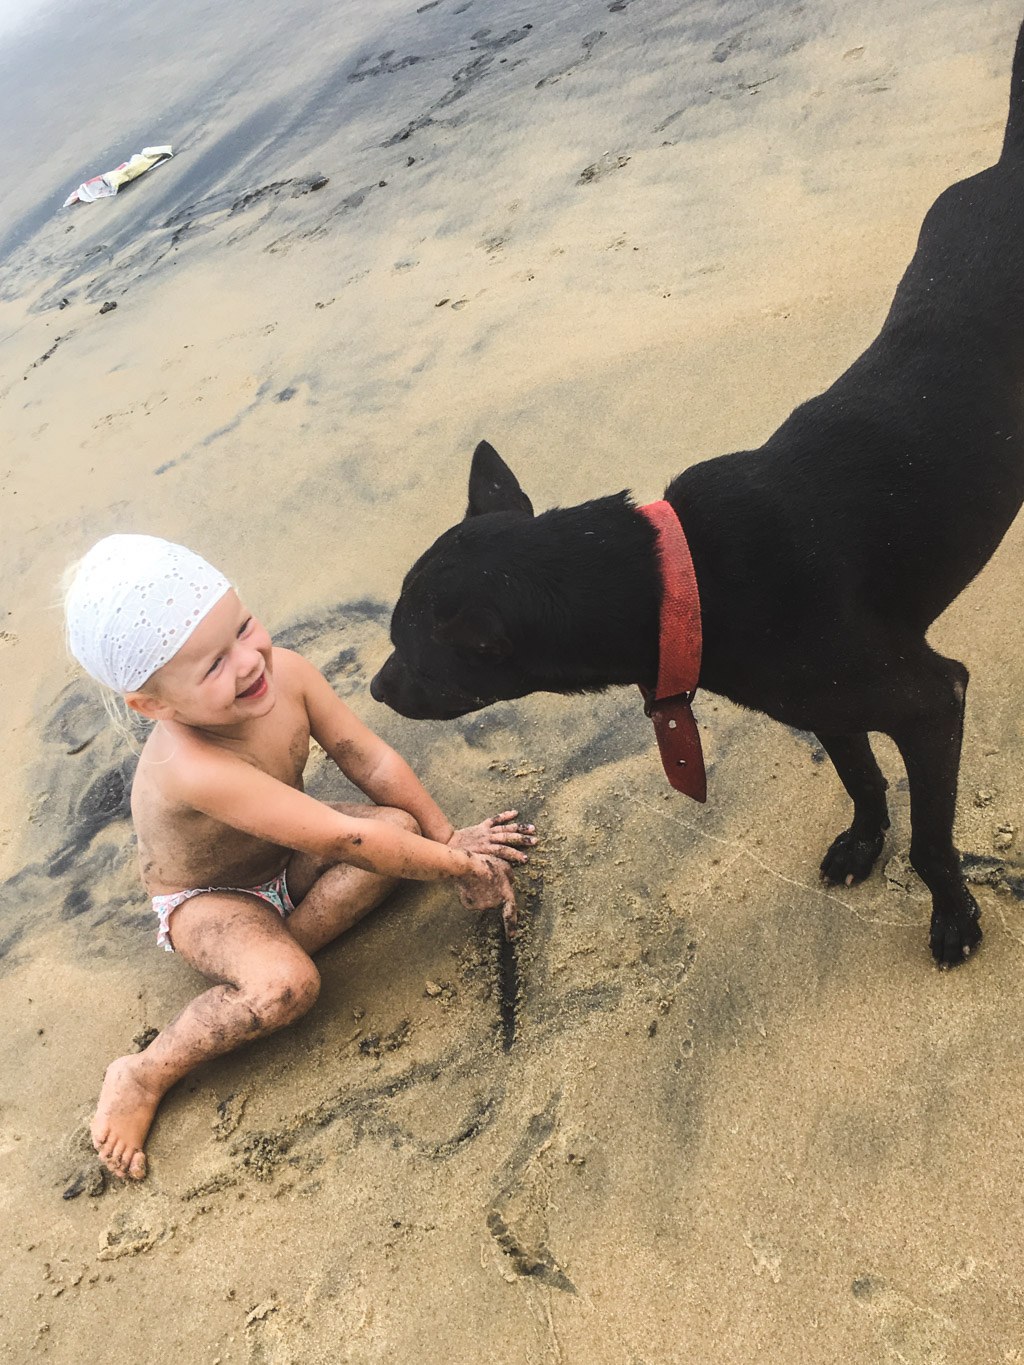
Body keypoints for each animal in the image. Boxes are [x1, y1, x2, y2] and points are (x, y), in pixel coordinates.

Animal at [374, 18, 1024, 960]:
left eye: (418, 649)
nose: (376, 690)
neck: (686, 577)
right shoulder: (827, 706)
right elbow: (862, 779)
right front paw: (863, 842)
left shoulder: (932, 701)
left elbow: (933, 842)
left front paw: (952, 916)